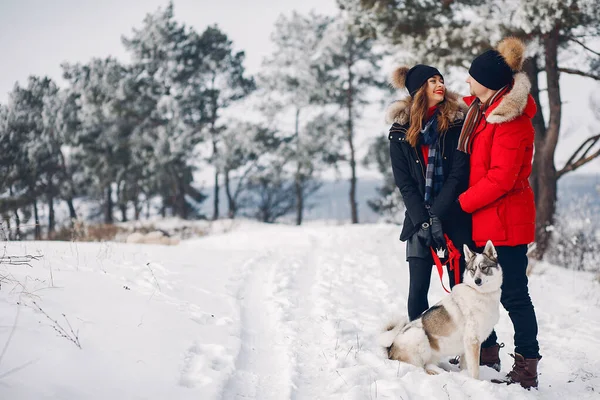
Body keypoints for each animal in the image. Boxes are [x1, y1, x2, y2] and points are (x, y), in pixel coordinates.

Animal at [382, 241, 504, 378]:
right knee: (421, 367)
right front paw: (475, 381)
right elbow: (474, 371)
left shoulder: (467, 346)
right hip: (419, 335)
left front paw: (464, 375)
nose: (477, 281)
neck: (480, 293)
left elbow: (466, 366)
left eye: (484, 268)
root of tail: (390, 348)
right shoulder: (472, 341)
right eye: (473, 270)